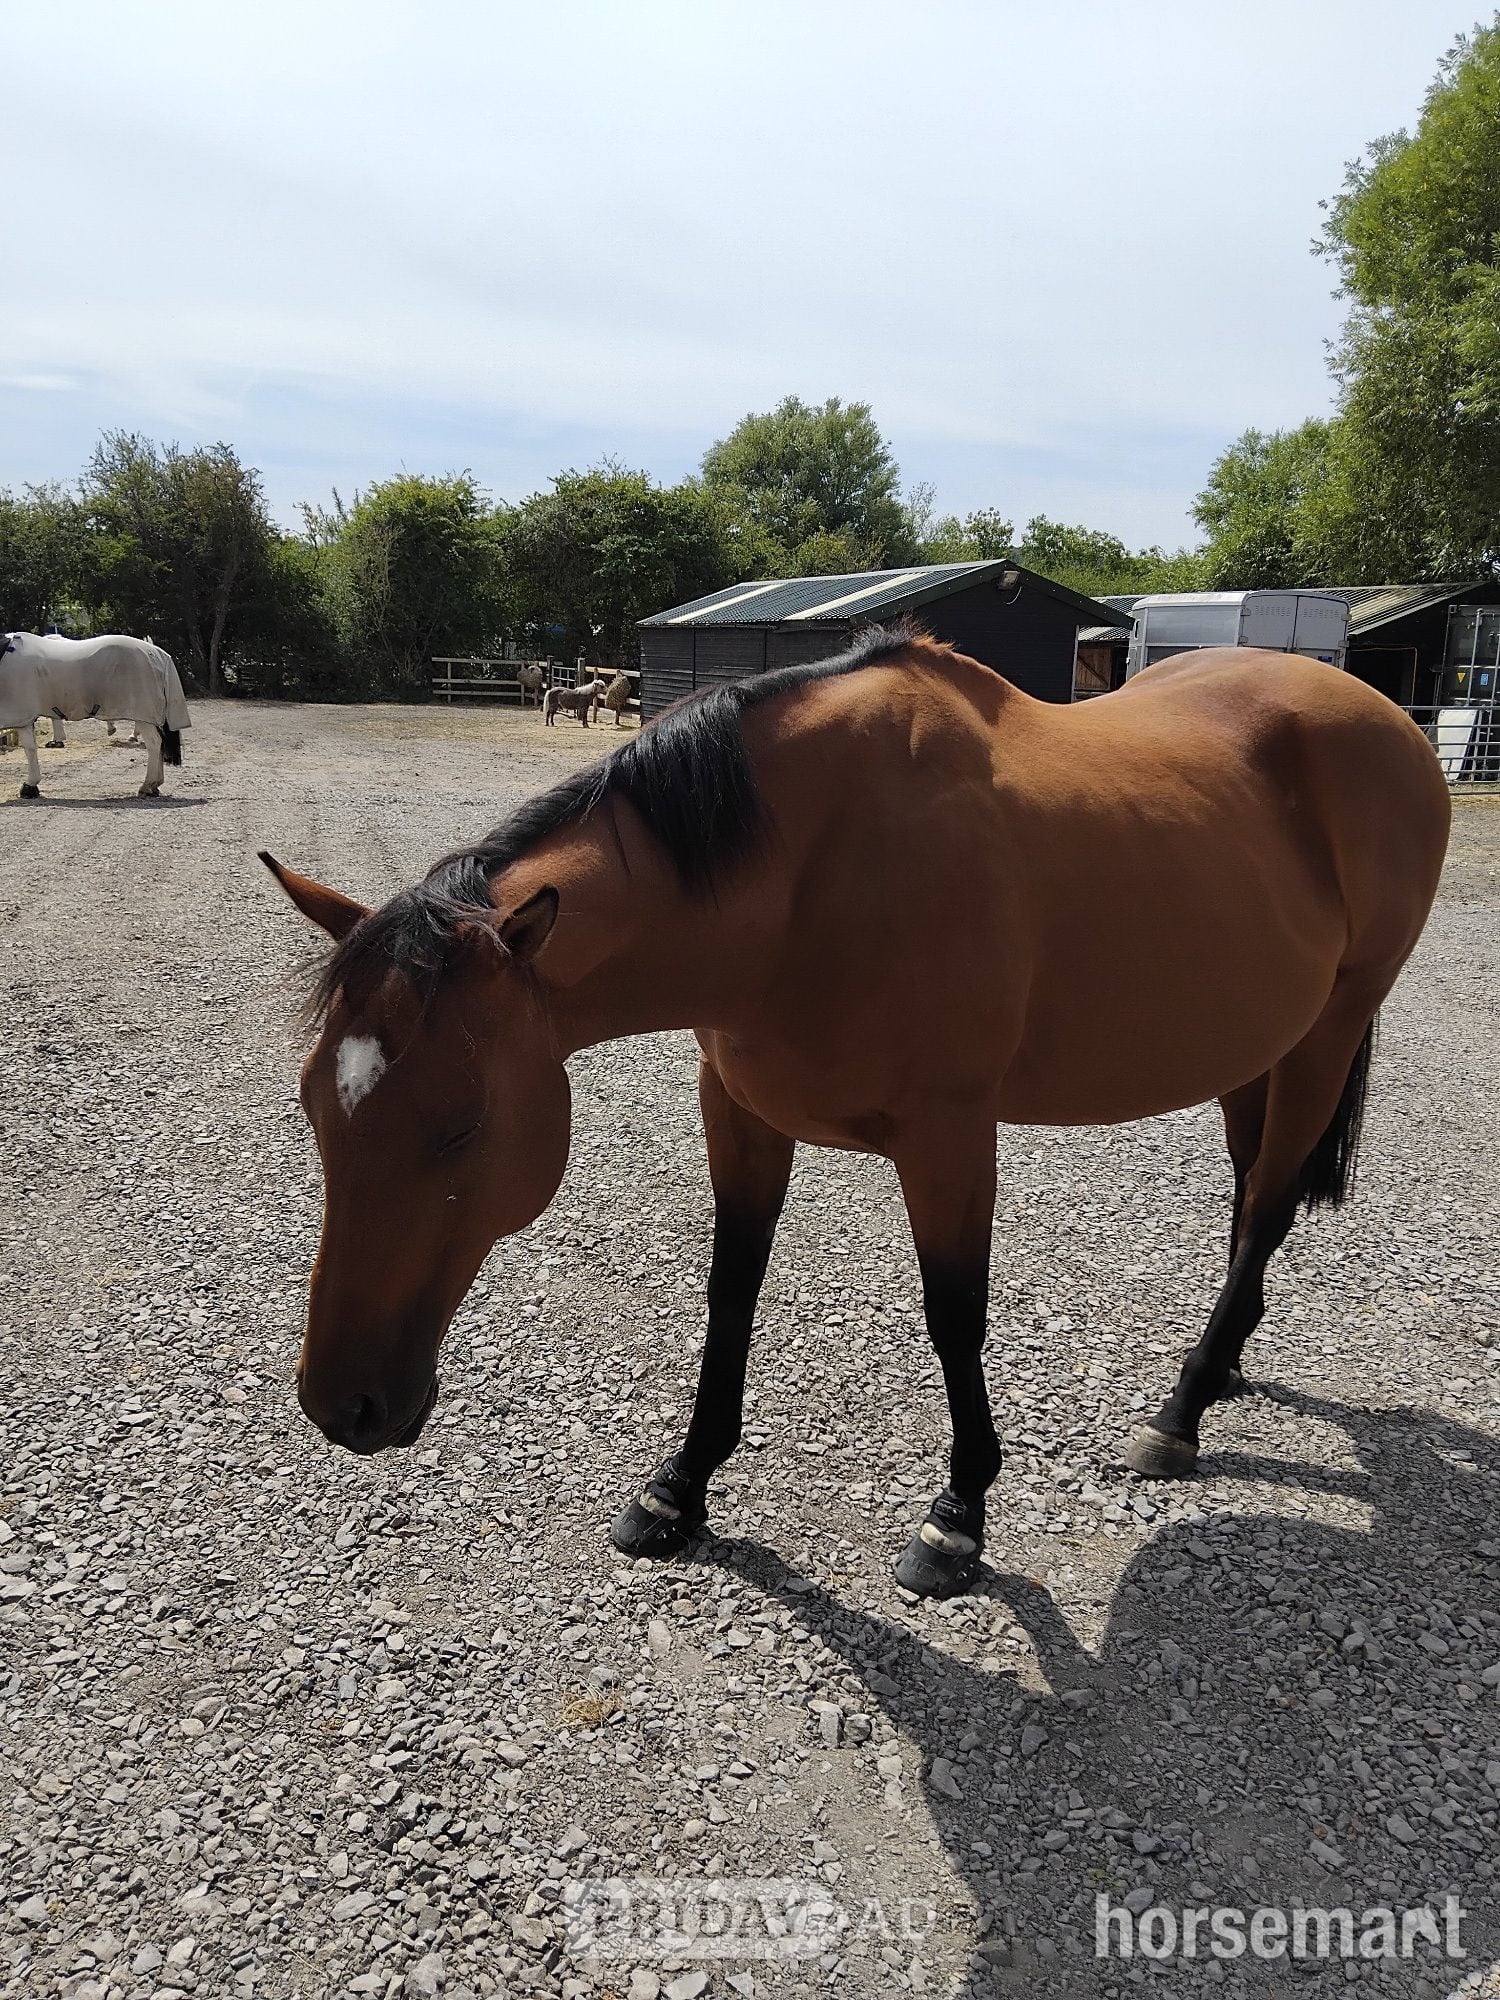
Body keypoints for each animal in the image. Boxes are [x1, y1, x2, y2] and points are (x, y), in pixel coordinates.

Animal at [1, 632, 190, 798]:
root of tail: (157, 653)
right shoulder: (24, 717)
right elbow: (31, 748)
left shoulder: (21, 714)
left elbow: (30, 747)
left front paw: (29, 786)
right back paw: (155, 785)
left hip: (143, 713)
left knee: (154, 743)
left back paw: (147, 785)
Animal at [260, 624, 1450, 1599]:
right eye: (317, 1109)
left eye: (461, 1127)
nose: (341, 1404)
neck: (811, 875)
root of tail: (1385, 718)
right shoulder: (740, 1111)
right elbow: (731, 1289)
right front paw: (679, 1485)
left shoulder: (949, 1137)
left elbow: (953, 1314)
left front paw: (958, 1516)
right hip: (1261, 1045)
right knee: (1254, 1200)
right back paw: (1228, 1364)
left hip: (1333, 1027)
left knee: (1266, 1210)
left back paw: (1182, 1411)